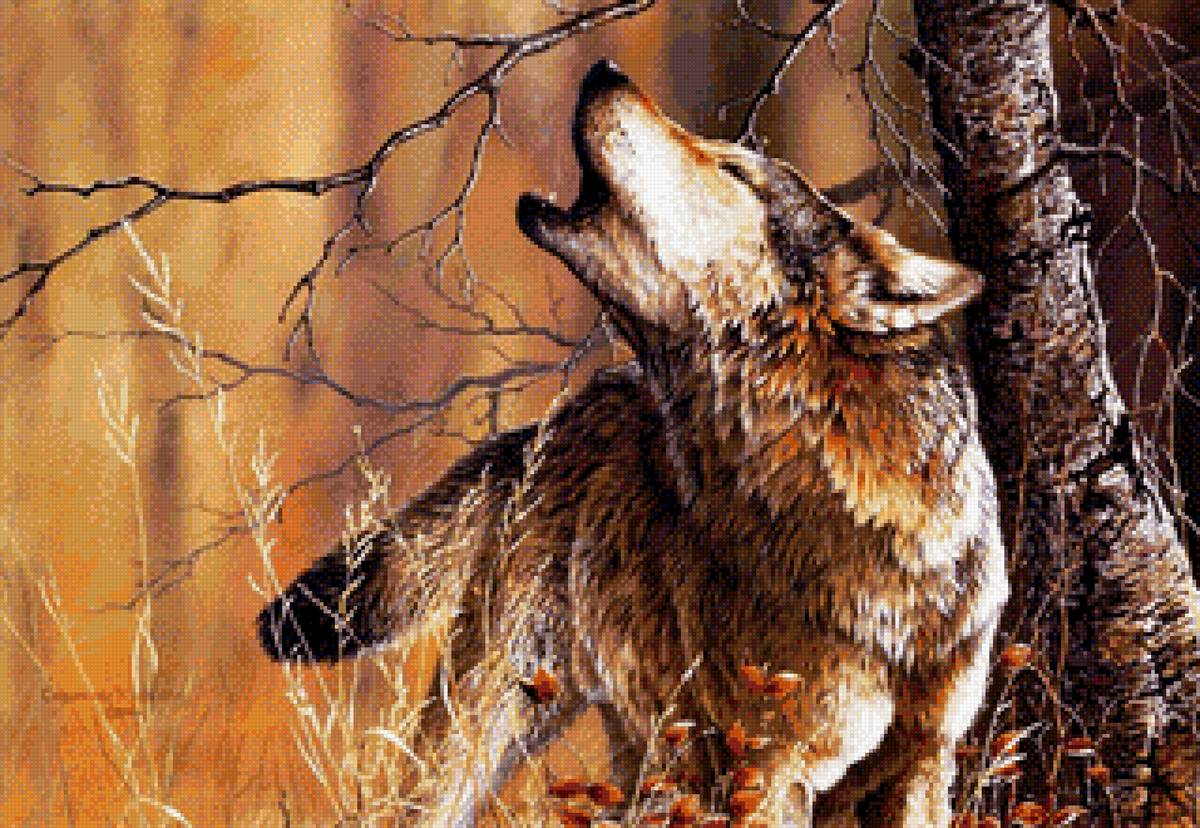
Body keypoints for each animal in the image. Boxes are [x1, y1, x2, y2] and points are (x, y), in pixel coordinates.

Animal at [258, 60, 1007, 827]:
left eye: (735, 171)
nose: (604, 69)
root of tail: (555, 418)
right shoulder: (765, 770)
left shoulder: (922, 764)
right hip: (492, 722)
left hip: (650, 749)